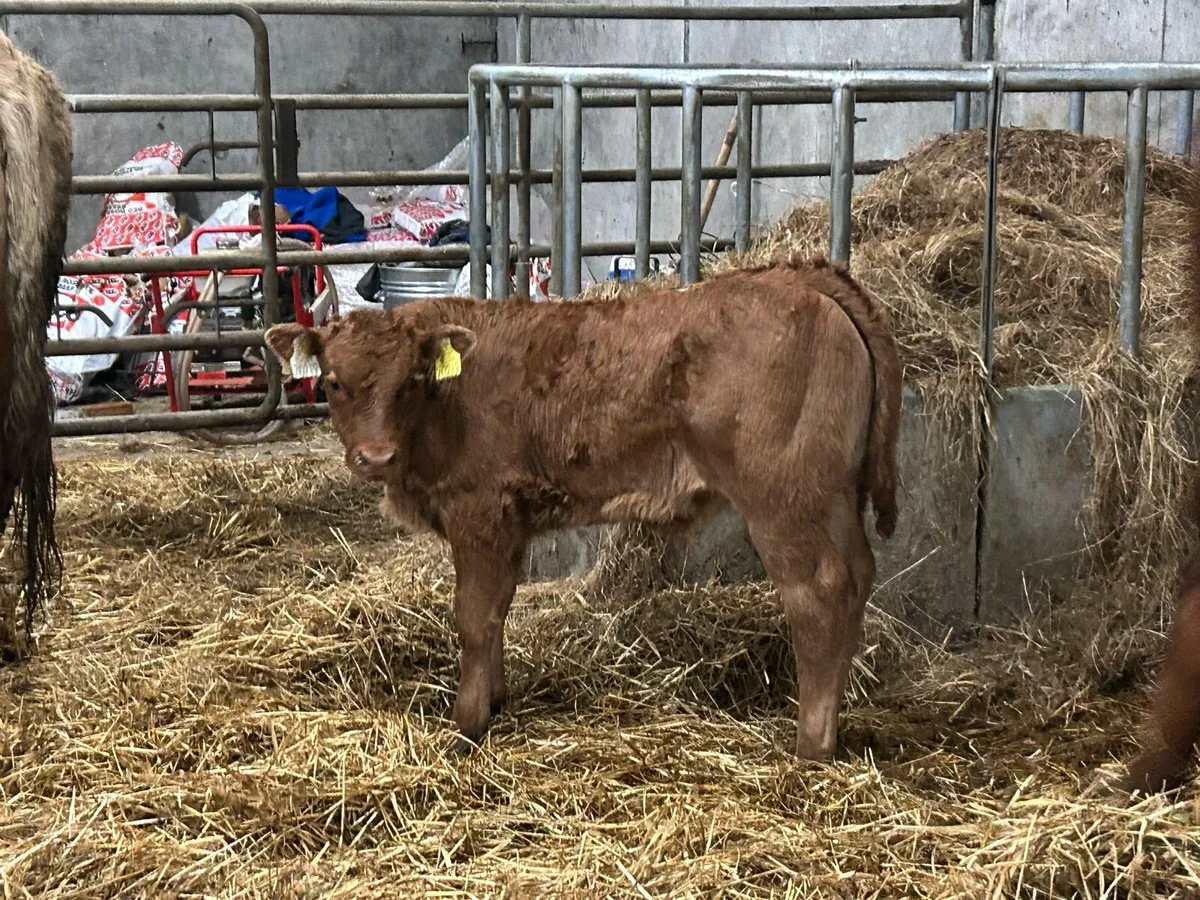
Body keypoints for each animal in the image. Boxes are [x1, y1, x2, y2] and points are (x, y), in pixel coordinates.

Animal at [265, 257, 902, 758]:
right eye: (334, 382)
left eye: (410, 381)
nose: (375, 456)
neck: (446, 404)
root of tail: (799, 278)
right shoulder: (510, 522)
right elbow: (497, 610)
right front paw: (496, 699)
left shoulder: (479, 512)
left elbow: (473, 616)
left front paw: (466, 723)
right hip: (835, 497)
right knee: (857, 577)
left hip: (785, 499)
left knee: (818, 593)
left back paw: (810, 744)